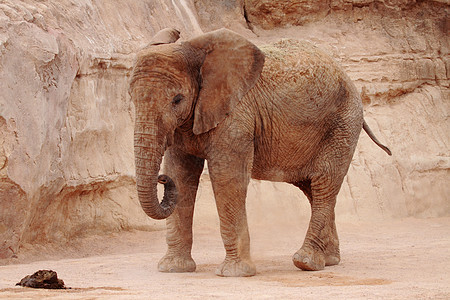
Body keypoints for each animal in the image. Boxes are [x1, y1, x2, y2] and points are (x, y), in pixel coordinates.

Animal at [129, 28, 390, 276]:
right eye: (131, 98)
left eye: (177, 99)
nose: (162, 179)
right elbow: (182, 175)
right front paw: (173, 269)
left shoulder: (237, 114)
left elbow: (227, 178)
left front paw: (233, 273)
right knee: (313, 189)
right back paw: (329, 261)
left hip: (343, 123)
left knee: (324, 184)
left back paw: (306, 262)